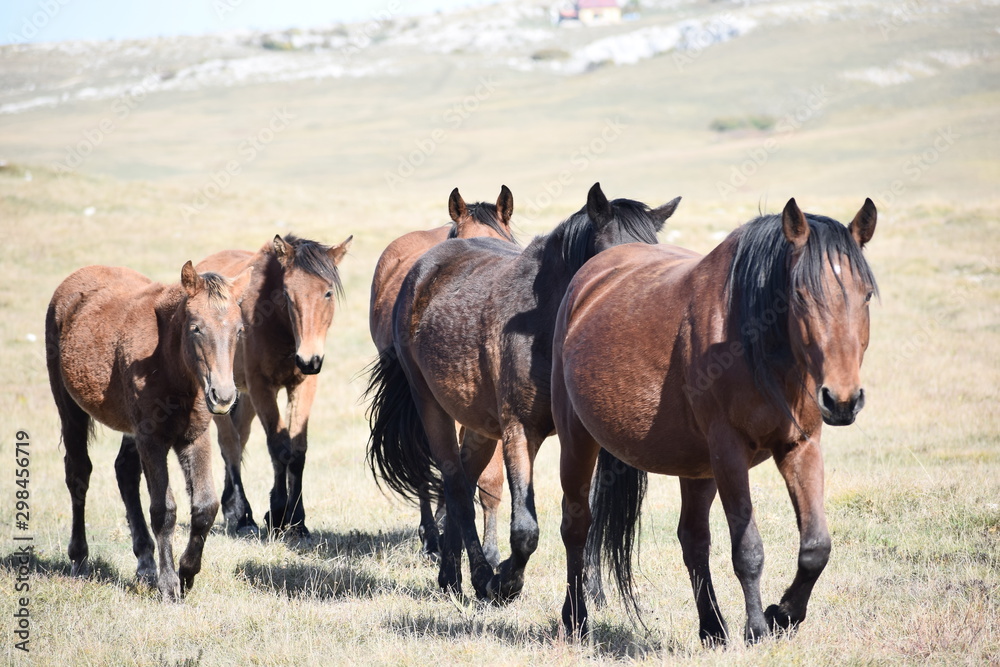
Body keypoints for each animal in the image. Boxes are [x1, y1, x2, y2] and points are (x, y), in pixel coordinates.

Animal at [46, 261, 252, 600]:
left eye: (239, 330)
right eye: (196, 328)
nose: (222, 397)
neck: (170, 366)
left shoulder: (194, 438)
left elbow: (205, 507)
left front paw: (186, 573)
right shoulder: (152, 440)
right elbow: (164, 510)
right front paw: (169, 585)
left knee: (125, 472)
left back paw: (145, 562)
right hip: (70, 409)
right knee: (78, 475)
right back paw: (79, 558)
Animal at [195, 233, 352, 537]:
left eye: (327, 293)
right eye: (288, 295)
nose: (308, 359)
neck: (277, 325)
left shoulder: (302, 384)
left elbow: (298, 450)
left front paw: (297, 519)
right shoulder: (262, 388)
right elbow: (279, 447)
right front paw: (277, 515)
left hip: (241, 396)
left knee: (240, 437)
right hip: (217, 396)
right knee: (230, 444)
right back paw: (241, 514)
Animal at [551, 198, 878, 643]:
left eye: (866, 295)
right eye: (799, 294)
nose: (842, 399)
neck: (755, 343)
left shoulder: (801, 446)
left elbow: (815, 547)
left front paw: (783, 615)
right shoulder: (729, 452)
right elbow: (748, 549)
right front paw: (757, 627)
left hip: (696, 466)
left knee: (693, 539)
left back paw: (712, 627)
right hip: (578, 441)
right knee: (576, 526)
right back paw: (576, 619)